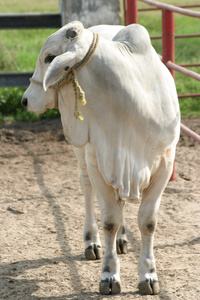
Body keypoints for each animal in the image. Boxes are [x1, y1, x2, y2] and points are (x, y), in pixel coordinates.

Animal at [21, 21, 180, 296]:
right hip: (84, 157)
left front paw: (149, 276)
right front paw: (109, 276)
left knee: (121, 202)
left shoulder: (164, 164)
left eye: (49, 57)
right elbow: (109, 221)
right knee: (87, 189)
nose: (25, 100)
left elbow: (148, 222)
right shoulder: (98, 161)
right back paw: (92, 242)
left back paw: (123, 239)